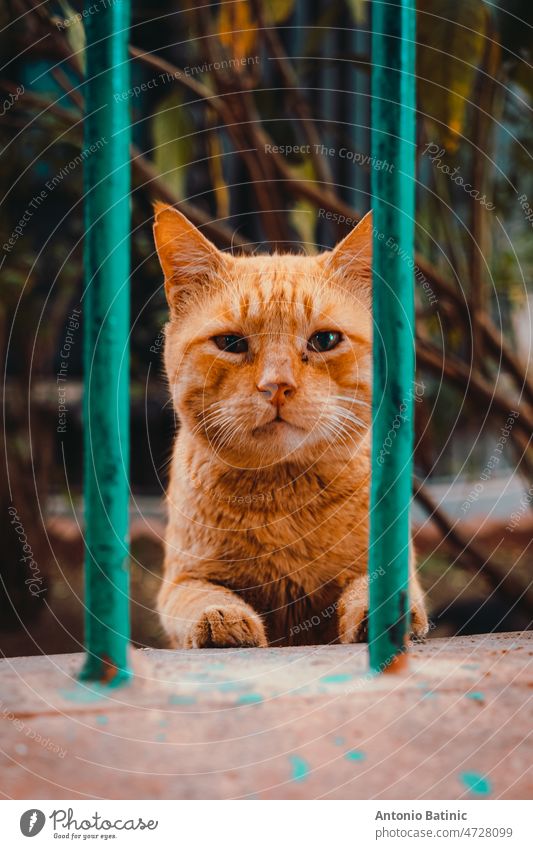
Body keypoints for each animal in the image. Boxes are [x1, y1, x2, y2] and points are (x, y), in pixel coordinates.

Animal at [152, 205, 426, 648]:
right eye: (231, 343)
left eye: (325, 340)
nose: (277, 385)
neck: (284, 493)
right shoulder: (180, 582)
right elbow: (204, 596)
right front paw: (224, 619)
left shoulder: (392, 564)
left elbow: (367, 586)